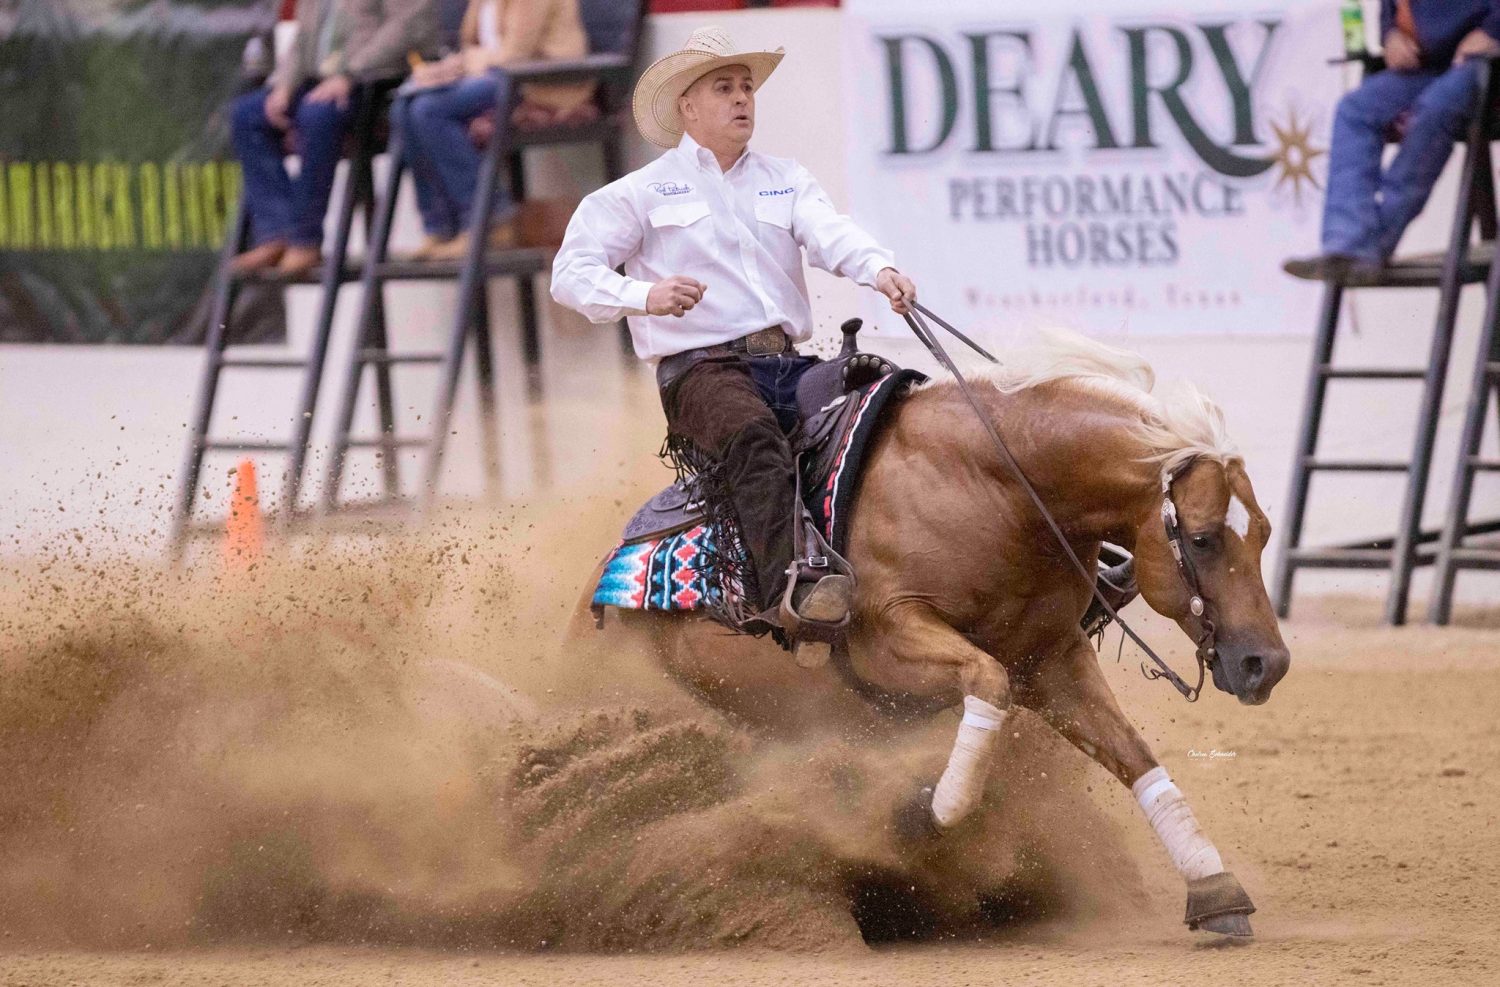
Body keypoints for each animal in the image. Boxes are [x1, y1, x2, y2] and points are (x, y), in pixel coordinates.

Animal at [597, 328, 1290, 930]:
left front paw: (1214, 887)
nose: (1267, 664)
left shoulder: (1052, 657)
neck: (997, 488)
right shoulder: (889, 638)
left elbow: (1133, 755)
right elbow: (986, 683)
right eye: (1201, 539)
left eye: (1264, 533)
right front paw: (923, 817)